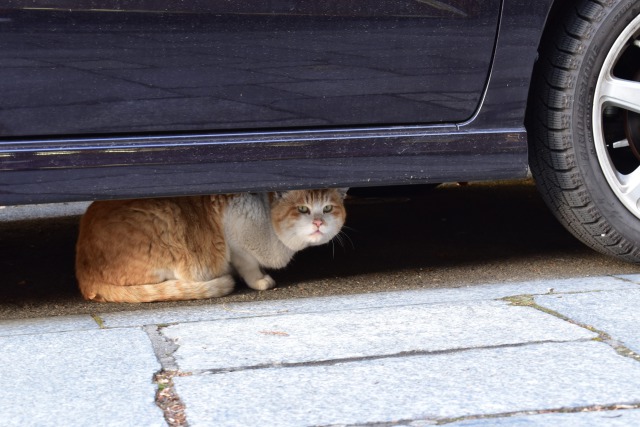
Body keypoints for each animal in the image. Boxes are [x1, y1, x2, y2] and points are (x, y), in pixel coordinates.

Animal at [75, 189, 348, 302]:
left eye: (327, 208)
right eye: (302, 209)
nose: (318, 222)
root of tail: (83, 275)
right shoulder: (235, 233)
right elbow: (247, 264)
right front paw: (259, 280)